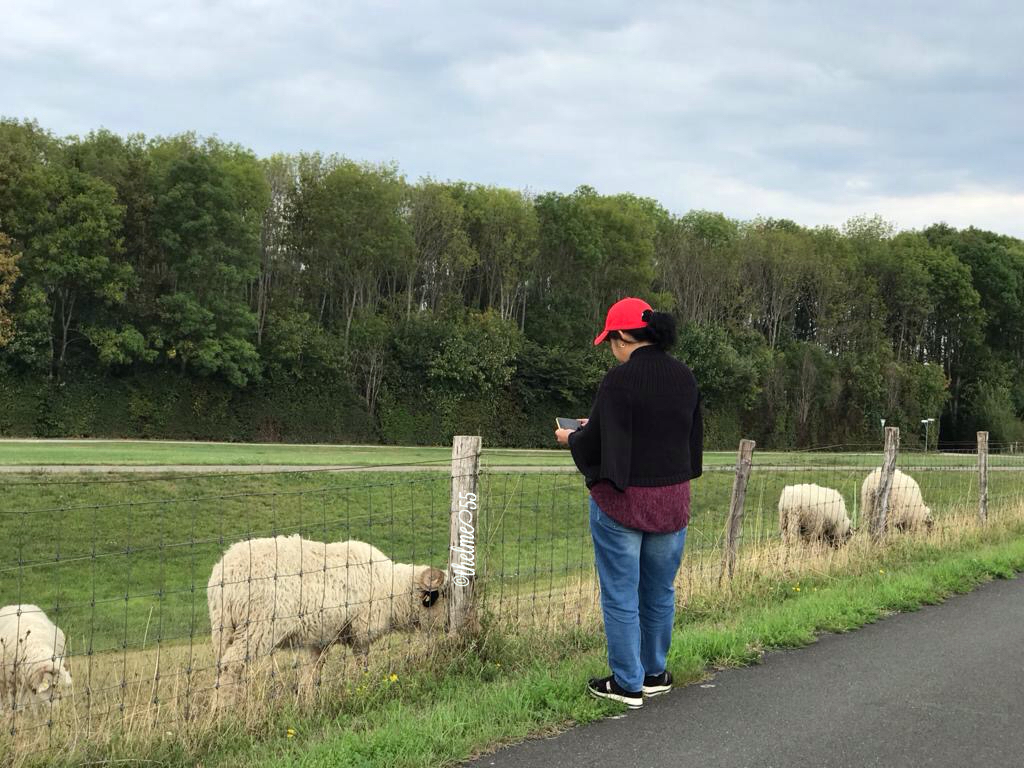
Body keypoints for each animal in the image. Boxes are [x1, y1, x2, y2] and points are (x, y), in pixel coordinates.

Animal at [205, 536, 446, 700]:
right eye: (441, 595)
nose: (449, 625)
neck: (390, 586)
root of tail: (225, 572)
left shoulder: (319, 638)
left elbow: (312, 671)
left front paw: (307, 701)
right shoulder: (360, 631)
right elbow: (361, 663)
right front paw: (364, 686)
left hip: (223, 628)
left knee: (221, 667)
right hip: (257, 627)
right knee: (231, 666)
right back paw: (226, 711)